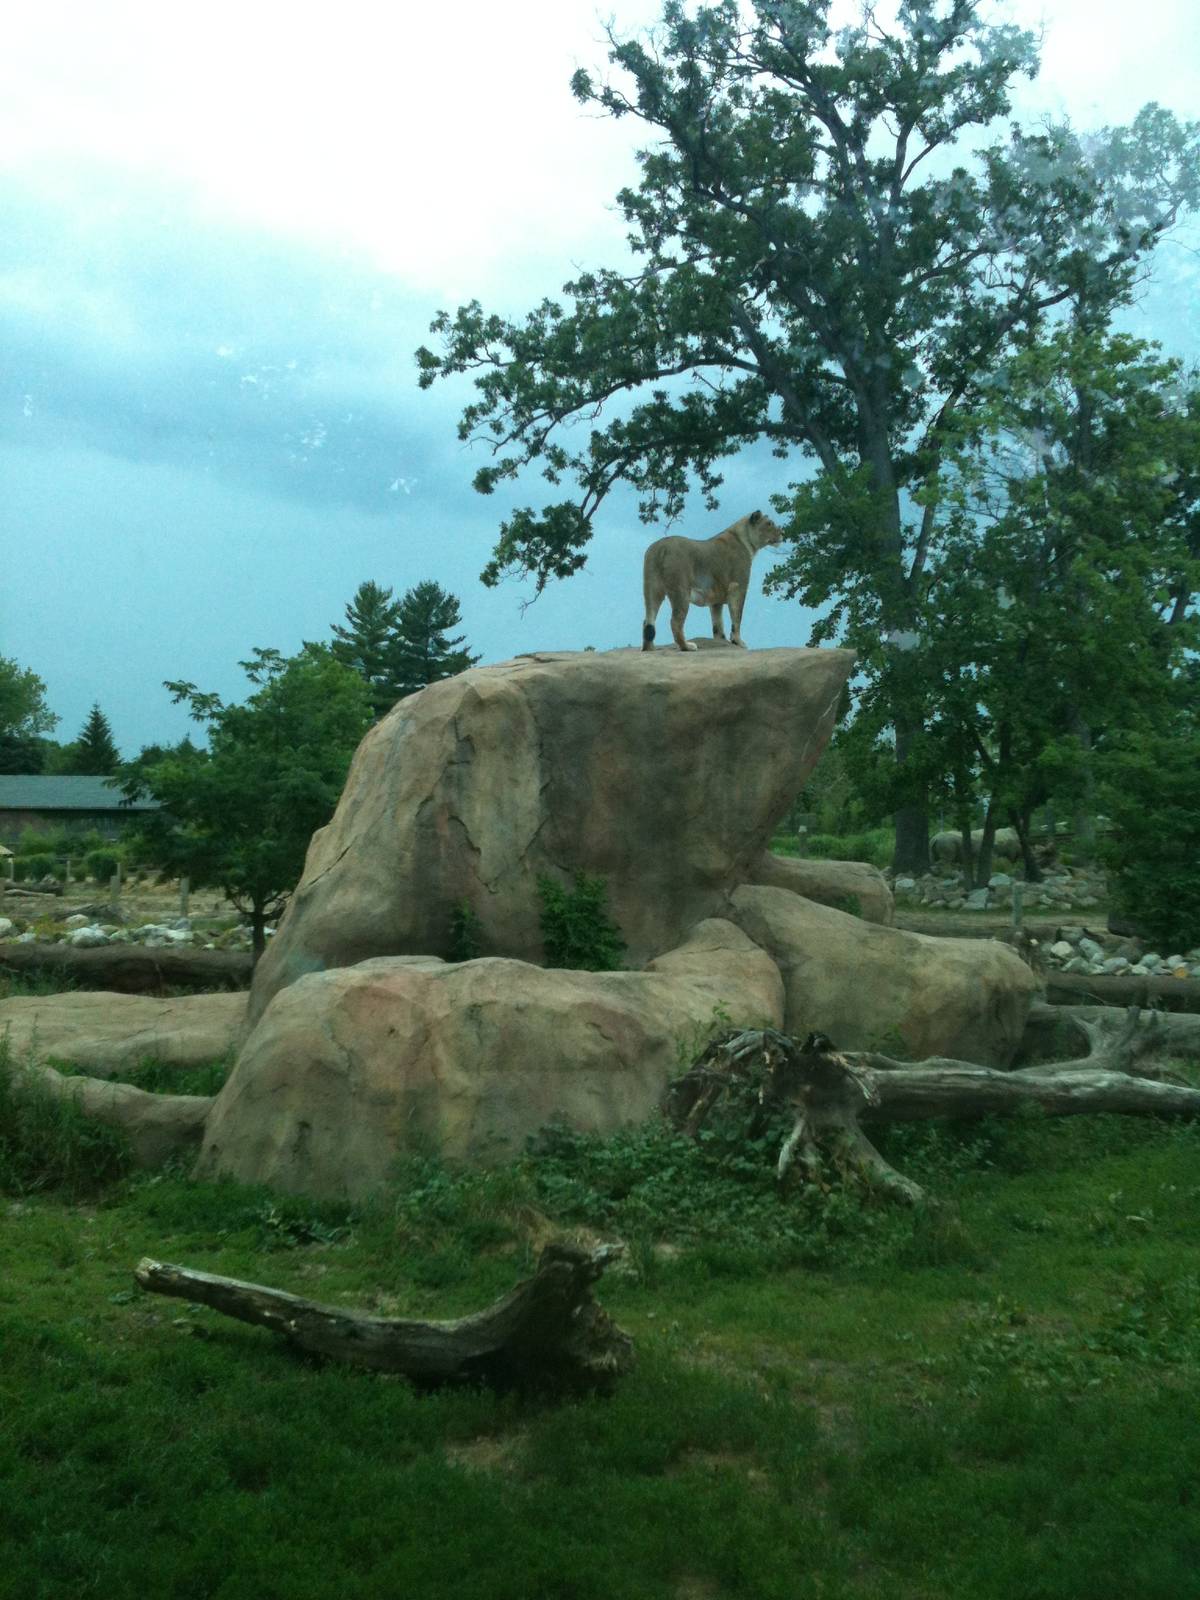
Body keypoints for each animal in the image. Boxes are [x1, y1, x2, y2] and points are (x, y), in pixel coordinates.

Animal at [641, 510, 786, 653]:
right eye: (769, 523)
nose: (782, 533)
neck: (745, 540)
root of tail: (660, 547)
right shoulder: (738, 587)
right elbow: (737, 617)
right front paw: (738, 642)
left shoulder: (716, 600)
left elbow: (717, 624)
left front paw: (721, 641)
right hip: (681, 591)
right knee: (675, 622)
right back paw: (687, 646)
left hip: (652, 589)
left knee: (648, 621)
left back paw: (650, 649)